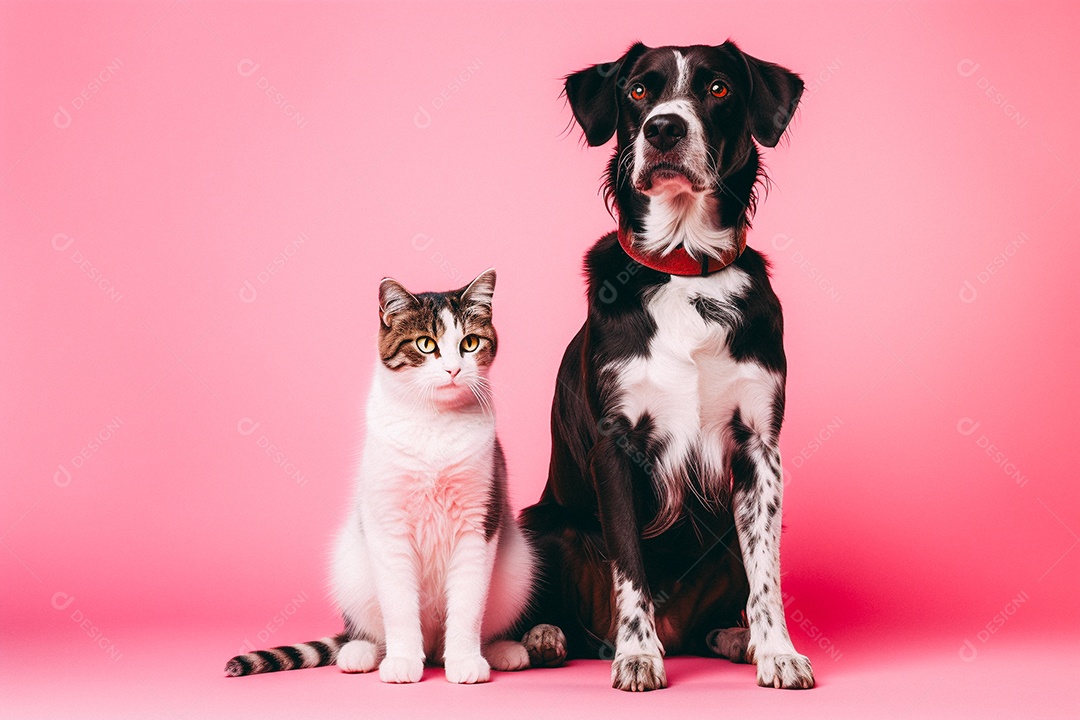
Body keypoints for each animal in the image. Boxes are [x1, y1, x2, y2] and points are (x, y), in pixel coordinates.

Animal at [225, 267, 537, 686]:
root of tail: (432, 647)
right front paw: (403, 661)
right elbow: (399, 606)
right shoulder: (388, 525)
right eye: (426, 344)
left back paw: (502, 650)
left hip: (518, 568)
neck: (434, 424)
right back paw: (361, 651)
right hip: (350, 567)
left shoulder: (479, 521)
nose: (454, 369)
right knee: (368, 630)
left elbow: (468, 604)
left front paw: (465, 661)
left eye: (470, 343)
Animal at [518, 40, 812, 690]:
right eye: (638, 91)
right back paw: (546, 637)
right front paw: (637, 654)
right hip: (540, 524)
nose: (664, 128)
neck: (683, 266)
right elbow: (630, 565)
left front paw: (777, 650)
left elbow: (767, 575)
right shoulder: (617, 444)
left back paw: (734, 638)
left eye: (719, 88)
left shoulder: (760, 446)